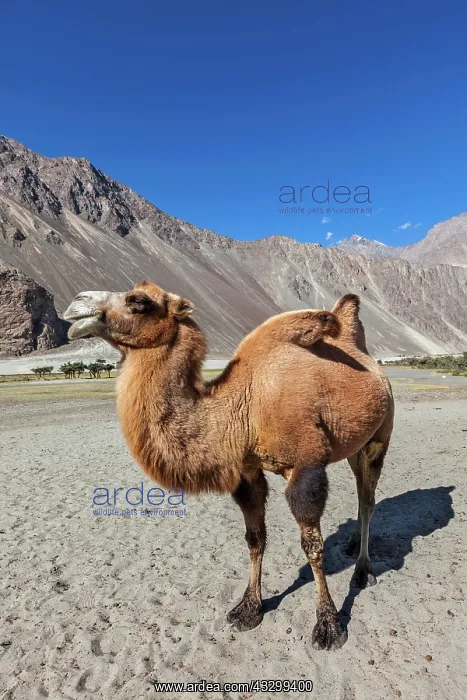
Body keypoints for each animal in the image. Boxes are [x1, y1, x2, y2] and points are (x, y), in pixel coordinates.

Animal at [64, 281, 394, 651]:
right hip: (354, 445)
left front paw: (328, 625)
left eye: (139, 301)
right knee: (361, 492)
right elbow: (254, 538)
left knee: (367, 499)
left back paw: (363, 571)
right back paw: (351, 545)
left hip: (379, 438)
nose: (77, 303)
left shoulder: (305, 465)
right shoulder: (247, 471)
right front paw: (248, 609)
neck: (243, 408)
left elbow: (313, 546)